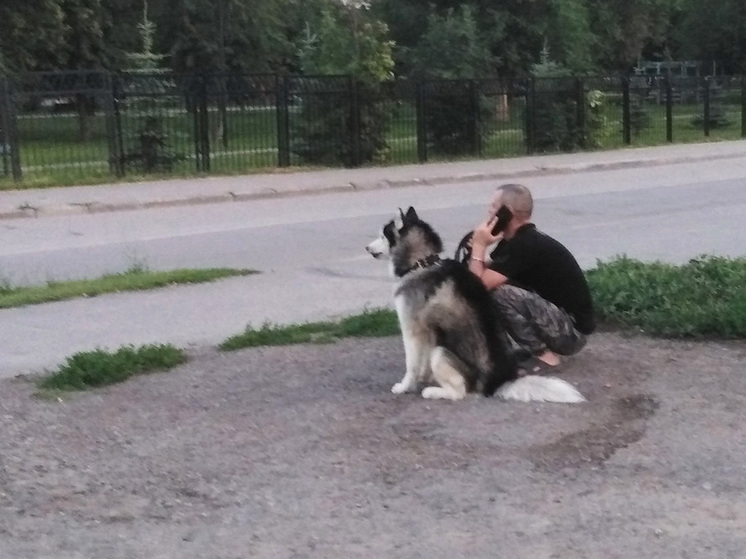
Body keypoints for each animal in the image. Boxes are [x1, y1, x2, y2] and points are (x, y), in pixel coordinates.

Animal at [366, 208, 588, 404]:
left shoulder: (412, 329)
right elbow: (422, 365)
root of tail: (497, 383)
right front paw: (425, 377)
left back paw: (434, 392)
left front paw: (405, 386)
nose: (366, 248)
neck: (422, 263)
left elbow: (411, 366)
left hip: (441, 352)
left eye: (382, 236)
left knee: (459, 392)